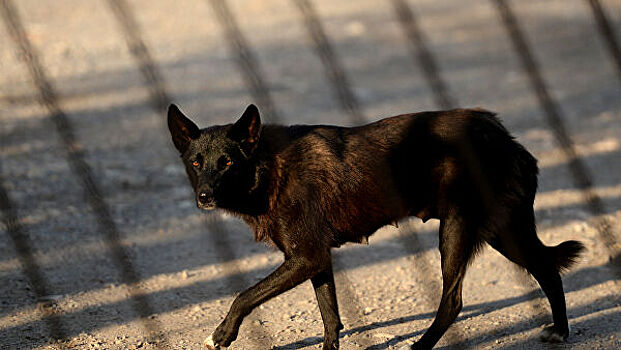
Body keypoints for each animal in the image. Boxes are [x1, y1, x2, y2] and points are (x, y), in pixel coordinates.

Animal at [168, 104, 580, 350]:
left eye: (227, 162)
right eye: (196, 162)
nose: (204, 197)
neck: (268, 167)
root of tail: (502, 135)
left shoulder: (306, 257)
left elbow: (244, 295)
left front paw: (223, 334)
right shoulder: (316, 261)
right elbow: (330, 316)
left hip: (457, 231)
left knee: (453, 300)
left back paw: (421, 346)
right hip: (503, 232)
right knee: (547, 269)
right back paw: (560, 330)